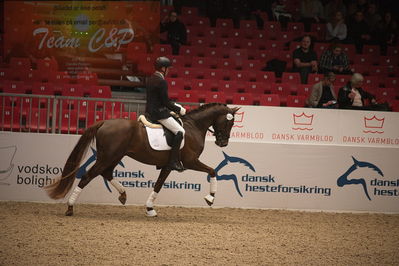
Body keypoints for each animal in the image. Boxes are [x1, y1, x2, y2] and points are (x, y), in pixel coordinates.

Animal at [47, 103, 241, 217]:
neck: (193, 127)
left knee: (106, 173)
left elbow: (158, 185)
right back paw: (70, 207)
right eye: (229, 122)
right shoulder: (190, 161)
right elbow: (212, 171)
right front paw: (210, 198)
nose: (223, 143)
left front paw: (149, 208)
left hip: (115, 156)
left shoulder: (168, 166)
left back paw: (123, 194)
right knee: (88, 176)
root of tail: (104, 122)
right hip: (108, 156)